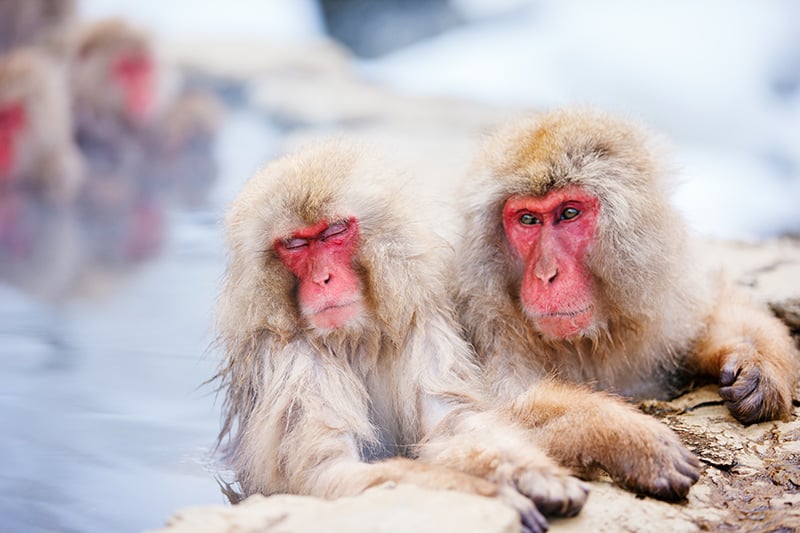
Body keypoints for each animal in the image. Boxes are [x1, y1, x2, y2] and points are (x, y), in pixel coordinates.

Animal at [216, 141, 592, 532]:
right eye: (294, 245)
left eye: (333, 232)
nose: (322, 280)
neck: (352, 337)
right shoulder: (292, 360)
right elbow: (327, 473)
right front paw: (491, 495)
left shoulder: (420, 323)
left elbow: (453, 423)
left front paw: (532, 473)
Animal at [454, 106, 796, 484]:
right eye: (528, 219)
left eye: (569, 213)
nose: (545, 274)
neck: (588, 341)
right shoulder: (484, 322)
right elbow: (474, 417)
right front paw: (626, 438)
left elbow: (711, 308)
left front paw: (757, 365)